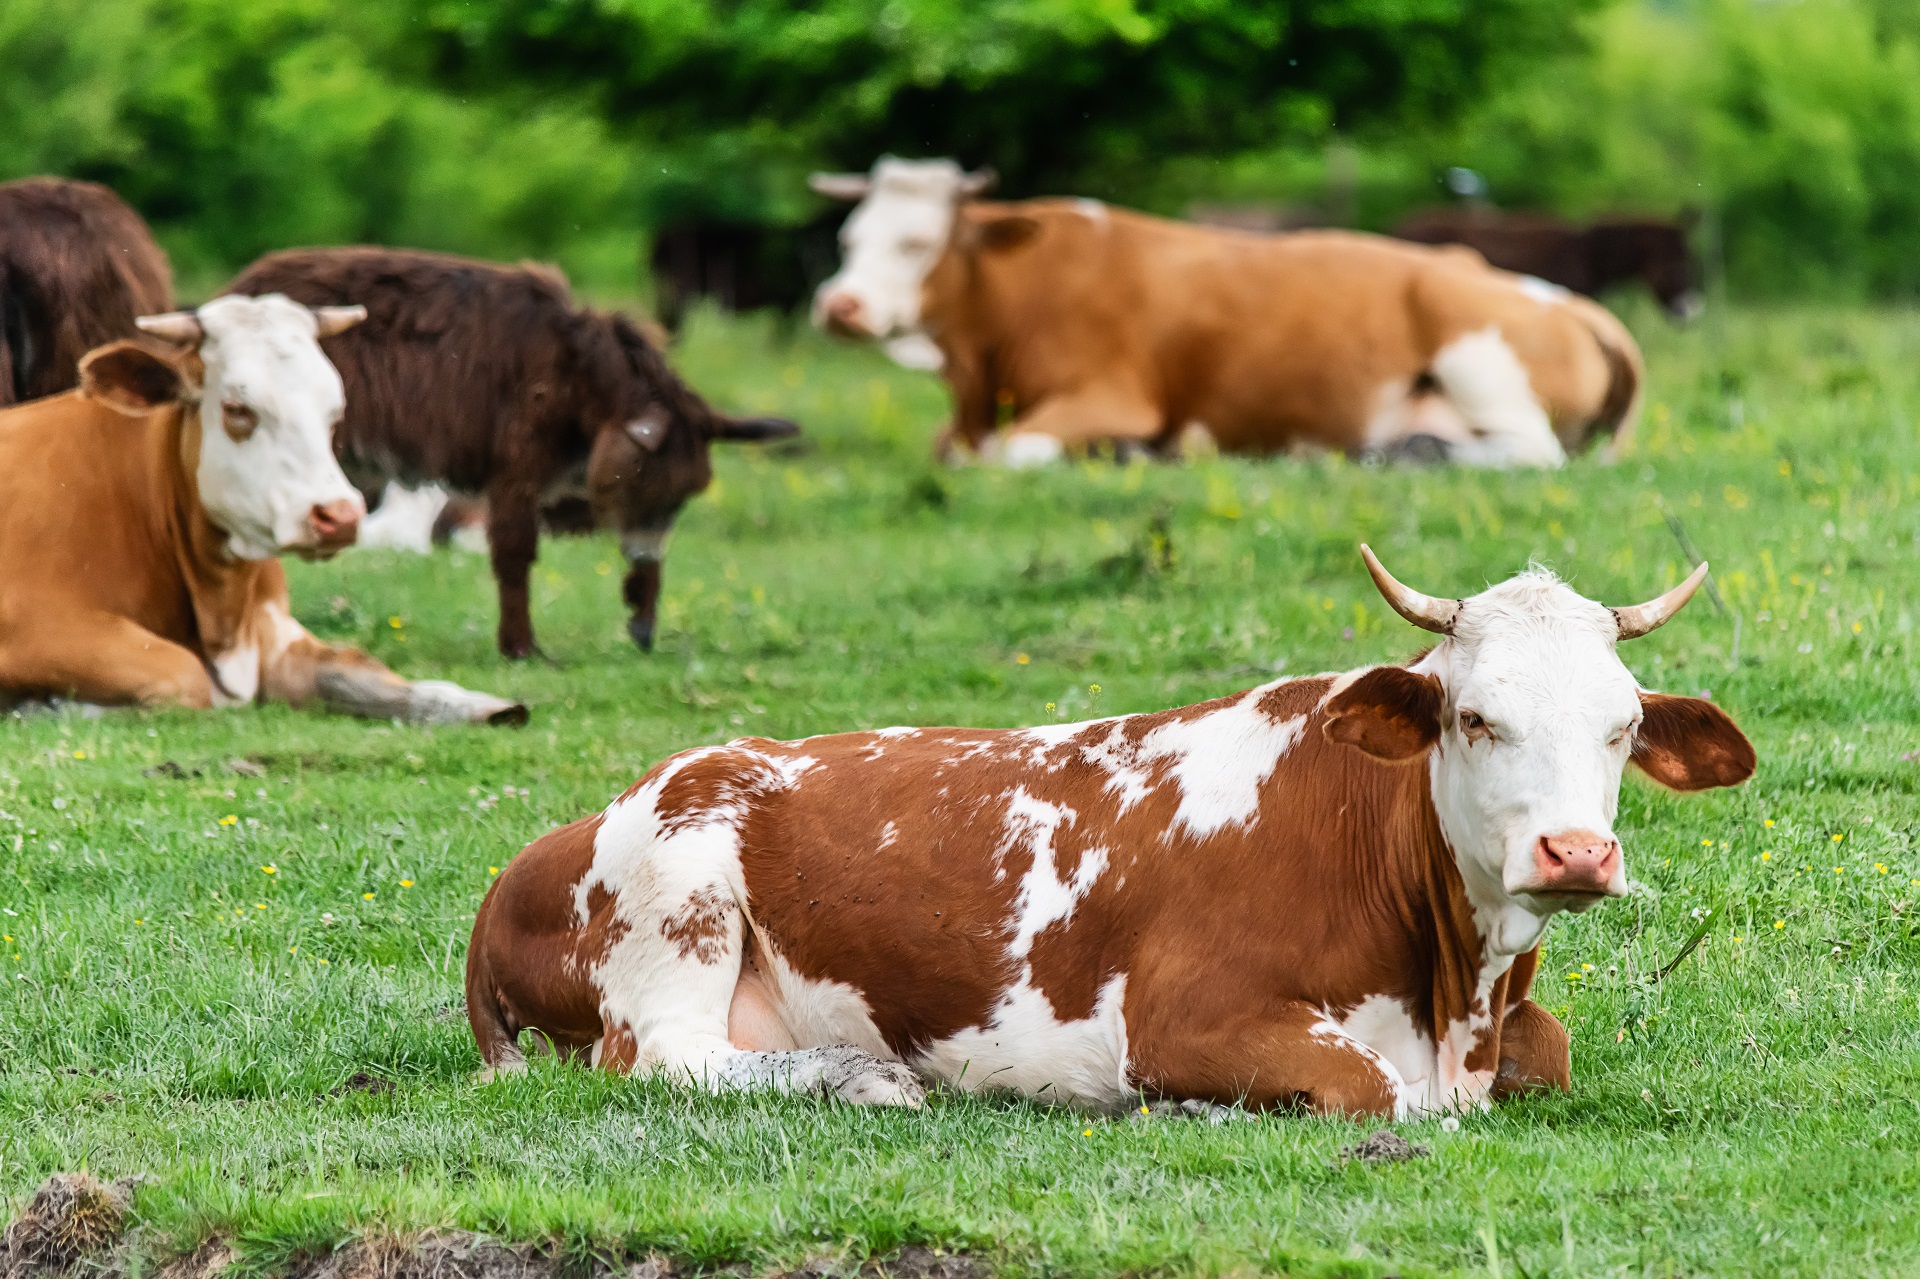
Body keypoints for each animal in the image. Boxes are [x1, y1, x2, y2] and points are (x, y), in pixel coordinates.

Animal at [0, 296, 523, 724]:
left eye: (334, 411)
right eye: (237, 409)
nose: (339, 516)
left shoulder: (278, 638)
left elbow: (357, 668)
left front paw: (478, 704)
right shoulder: (35, 625)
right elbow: (183, 674)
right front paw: (49, 704)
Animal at [222, 248, 801, 659]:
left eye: (681, 498)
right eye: (641, 487)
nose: (640, 556)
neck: (579, 377)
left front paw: (641, 619)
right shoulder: (517, 468)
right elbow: (516, 554)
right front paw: (522, 649)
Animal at [465, 548, 1754, 1115]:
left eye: (1622, 726)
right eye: (1477, 717)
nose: (1576, 854)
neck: (1452, 993)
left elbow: (1553, 1049)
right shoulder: (1184, 1015)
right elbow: (1369, 1087)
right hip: (677, 901)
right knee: (666, 1057)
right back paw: (863, 1075)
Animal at [808, 158, 1644, 470]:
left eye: (917, 242)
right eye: (848, 239)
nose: (840, 305)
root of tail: (1564, 298)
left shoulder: (1111, 396)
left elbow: (1013, 453)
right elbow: (947, 450)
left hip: (1475, 353)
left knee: (1531, 451)